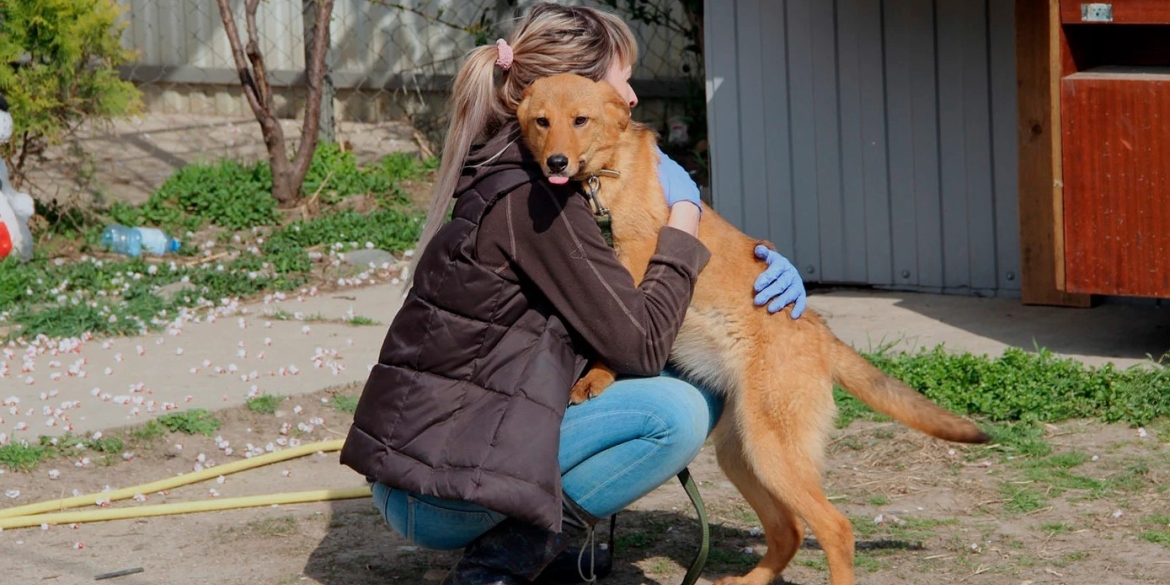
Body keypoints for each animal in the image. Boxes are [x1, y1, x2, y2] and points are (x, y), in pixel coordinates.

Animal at [519, 73, 987, 585]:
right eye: (542, 121)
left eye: (580, 120)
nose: (555, 163)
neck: (600, 179)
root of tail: (821, 335)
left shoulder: (636, 266)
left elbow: (613, 340)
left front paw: (596, 377)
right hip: (742, 453)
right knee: (789, 530)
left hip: (771, 453)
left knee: (835, 528)